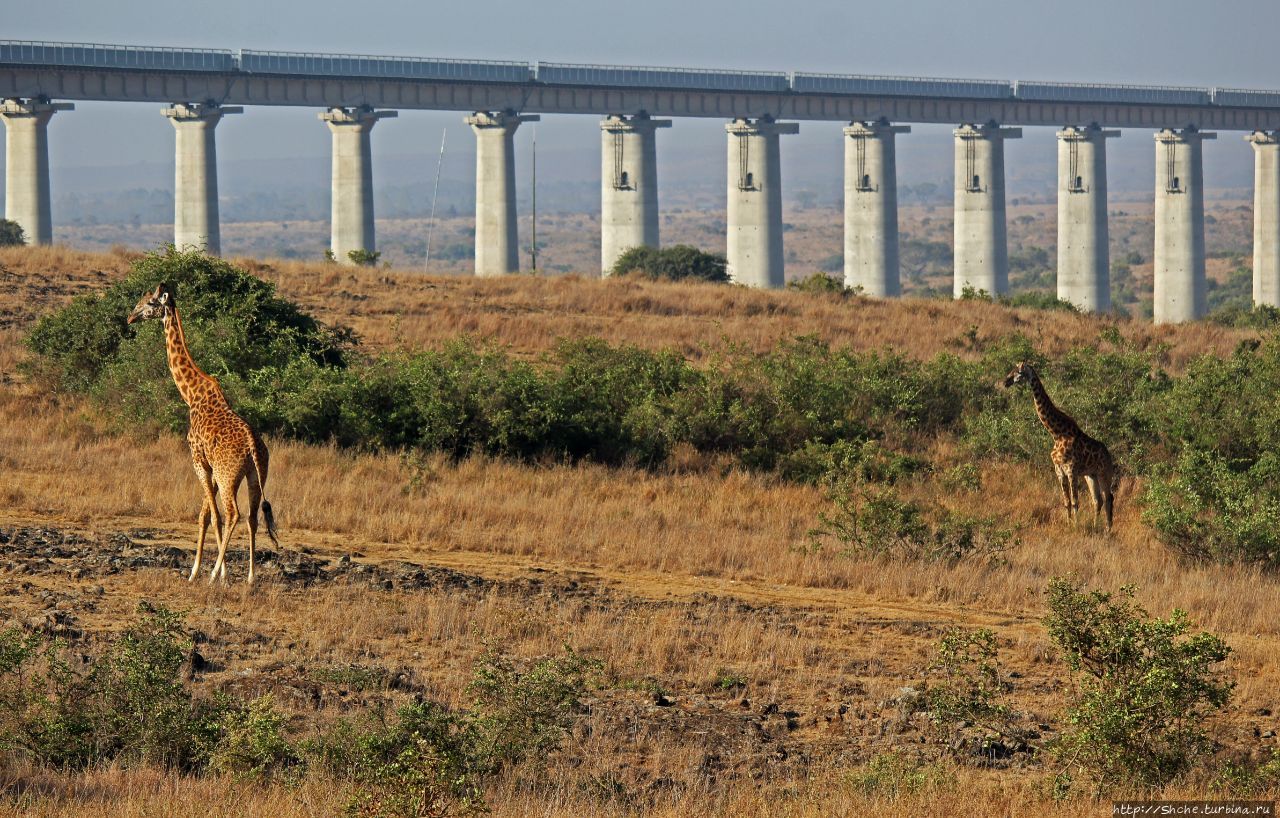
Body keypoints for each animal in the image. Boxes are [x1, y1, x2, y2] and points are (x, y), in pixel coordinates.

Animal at [126, 281, 279, 583]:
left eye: (149, 303)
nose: (130, 317)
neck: (192, 395)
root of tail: (253, 447)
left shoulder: (198, 459)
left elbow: (213, 515)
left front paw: (211, 574)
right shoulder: (209, 465)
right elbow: (205, 515)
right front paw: (199, 570)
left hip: (229, 474)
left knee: (233, 513)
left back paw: (217, 576)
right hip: (256, 475)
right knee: (252, 517)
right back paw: (250, 578)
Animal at [1003, 363, 1116, 532]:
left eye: (1019, 372)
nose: (1006, 382)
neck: (1057, 434)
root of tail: (1109, 455)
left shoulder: (1071, 470)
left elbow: (1075, 502)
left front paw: (1076, 527)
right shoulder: (1059, 471)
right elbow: (1067, 502)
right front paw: (1068, 525)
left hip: (1104, 473)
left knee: (1109, 498)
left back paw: (1108, 530)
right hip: (1091, 475)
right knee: (1098, 500)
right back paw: (1097, 526)